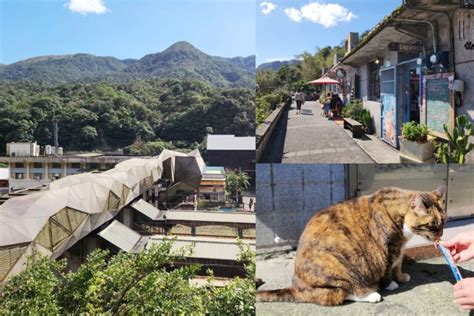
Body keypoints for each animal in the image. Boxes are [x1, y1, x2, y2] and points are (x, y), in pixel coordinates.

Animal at [258, 186, 446, 304]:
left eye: (443, 222)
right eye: (433, 225)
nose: (441, 235)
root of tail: (296, 288)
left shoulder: (399, 249)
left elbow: (398, 265)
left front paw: (401, 277)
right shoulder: (387, 249)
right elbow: (388, 269)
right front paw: (391, 284)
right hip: (340, 266)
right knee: (339, 294)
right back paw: (372, 295)